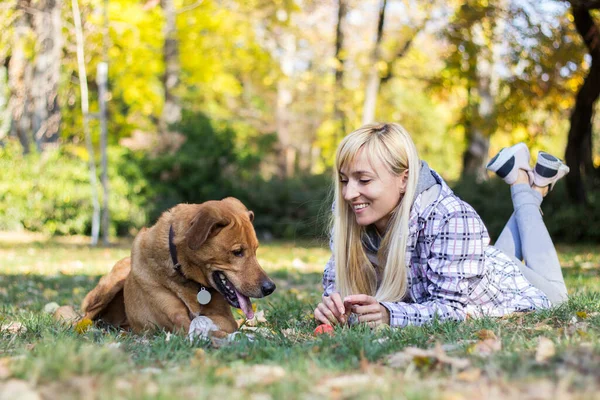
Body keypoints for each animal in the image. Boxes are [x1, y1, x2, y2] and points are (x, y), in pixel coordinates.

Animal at [81, 198, 276, 336]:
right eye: (237, 252)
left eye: (256, 250)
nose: (270, 288)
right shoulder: (174, 318)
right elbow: (193, 323)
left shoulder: (226, 318)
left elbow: (208, 322)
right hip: (108, 288)